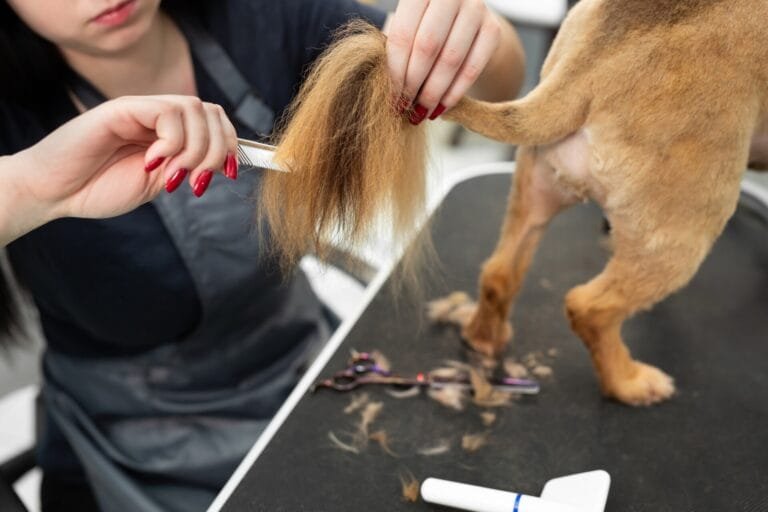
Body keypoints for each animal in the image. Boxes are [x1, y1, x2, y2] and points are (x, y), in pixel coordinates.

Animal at [444, 1, 768, 408]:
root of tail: (591, 63)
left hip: (537, 188)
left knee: (499, 273)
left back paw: (484, 339)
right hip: (683, 234)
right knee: (589, 308)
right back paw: (629, 382)